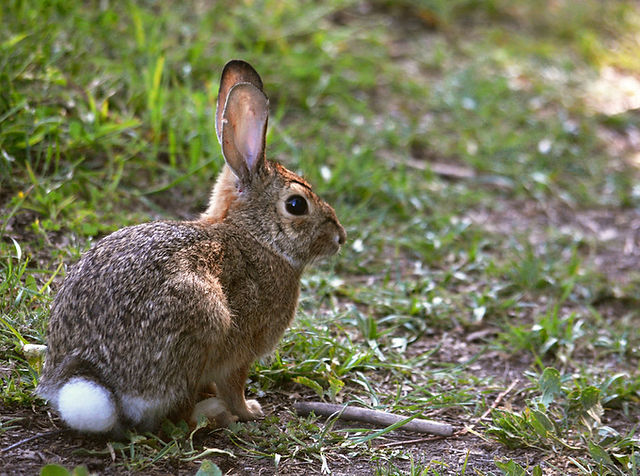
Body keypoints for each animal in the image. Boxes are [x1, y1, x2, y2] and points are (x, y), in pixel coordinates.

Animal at [36, 60, 344, 438]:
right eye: (297, 205)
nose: (340, 237)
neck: (255, 236)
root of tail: (94, 375)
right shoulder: (241, 352)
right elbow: (234, 386)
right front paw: (251, 410)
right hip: (205, 319)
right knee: (177, 416)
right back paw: (214, 414)